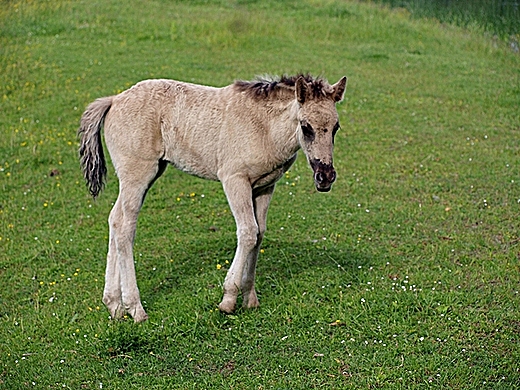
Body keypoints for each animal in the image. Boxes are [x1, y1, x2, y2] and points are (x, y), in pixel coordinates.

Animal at [79, 74, 348, 322]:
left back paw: (114, 305)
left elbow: (259, 233)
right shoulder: (234, 180)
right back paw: (135, 308)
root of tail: (114, 100)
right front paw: (228, 300)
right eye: (306, 127)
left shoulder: (264, 187)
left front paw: (250, 299)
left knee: (115, 220)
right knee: (125, 229)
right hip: (138, 174)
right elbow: (248, 232)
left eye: (335, 127)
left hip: (144, 175)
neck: (263, 126)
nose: (325, 177)